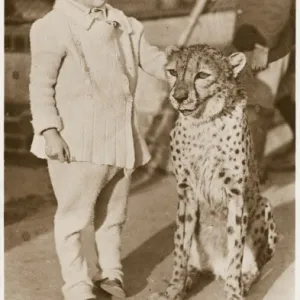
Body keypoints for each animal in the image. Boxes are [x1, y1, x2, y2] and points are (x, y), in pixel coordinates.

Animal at [148, 44, 276, 300]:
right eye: (173, 72)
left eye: (202, 75)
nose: (179, 97)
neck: (203, 123)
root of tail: (214, 268)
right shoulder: (186, 191)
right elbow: (180, 249)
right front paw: (174, 289)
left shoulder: (235, 194)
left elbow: (236, 249)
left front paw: (234, 292)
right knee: (192, 265)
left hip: (264, 205)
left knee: (255, 267)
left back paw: (242, 282)